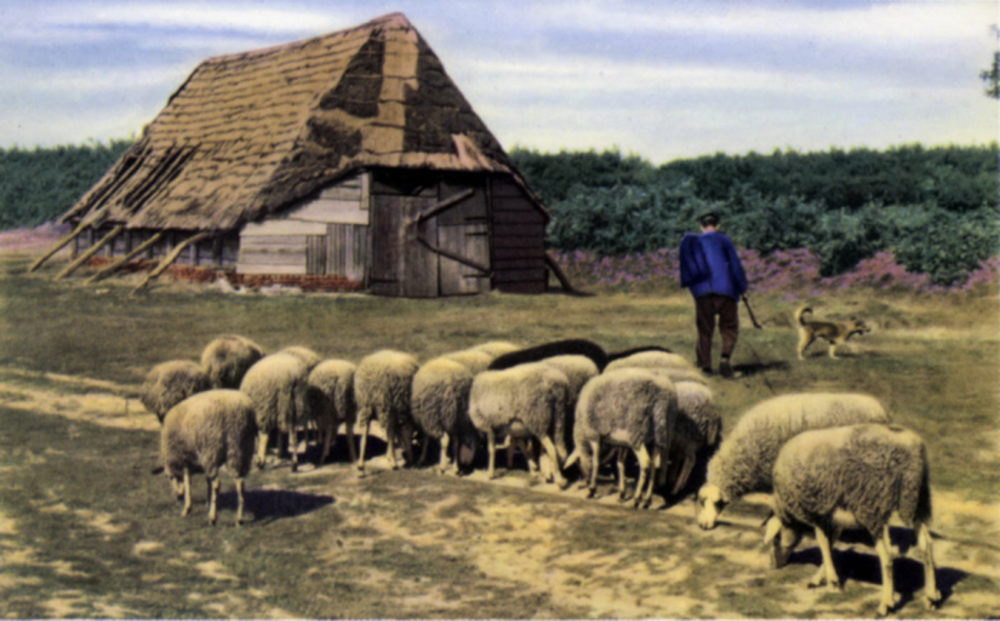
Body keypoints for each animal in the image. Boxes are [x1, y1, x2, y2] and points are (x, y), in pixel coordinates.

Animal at [159, 389, 257, 525]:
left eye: (168, 477)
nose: (178, 496)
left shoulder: (187, 457)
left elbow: (188, 482)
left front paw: (187, 508)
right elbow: (205, 480)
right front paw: (207, 501)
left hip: (212, 447)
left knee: (217, 483)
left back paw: (213, 517)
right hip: (240, 448)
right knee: (240, 483)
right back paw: (239, 518)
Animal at [564, 368, 678, 508]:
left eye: (578, 464)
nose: (583, 481)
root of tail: (661, 396)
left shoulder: (593, 435)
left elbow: (596, 462)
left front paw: (591, 490)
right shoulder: (623, 444)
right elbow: (620, 464)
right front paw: (621, 494)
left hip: (637, 432)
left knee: (645, 463)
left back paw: (636, 499)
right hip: (658, 435)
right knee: (653, 466)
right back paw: (646, 500)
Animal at [763, 424, 940, 616]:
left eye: (775, 539)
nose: (773, 565)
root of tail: (911, 446)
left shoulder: (815, 511)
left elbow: (823, 543)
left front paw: (832, 582)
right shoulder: (830, 517)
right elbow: (830, 544)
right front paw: (822, 578)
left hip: (873, 506)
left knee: (886, 556)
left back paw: (885, 605)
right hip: (915, 500)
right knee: (926, 545)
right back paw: (931, 596)